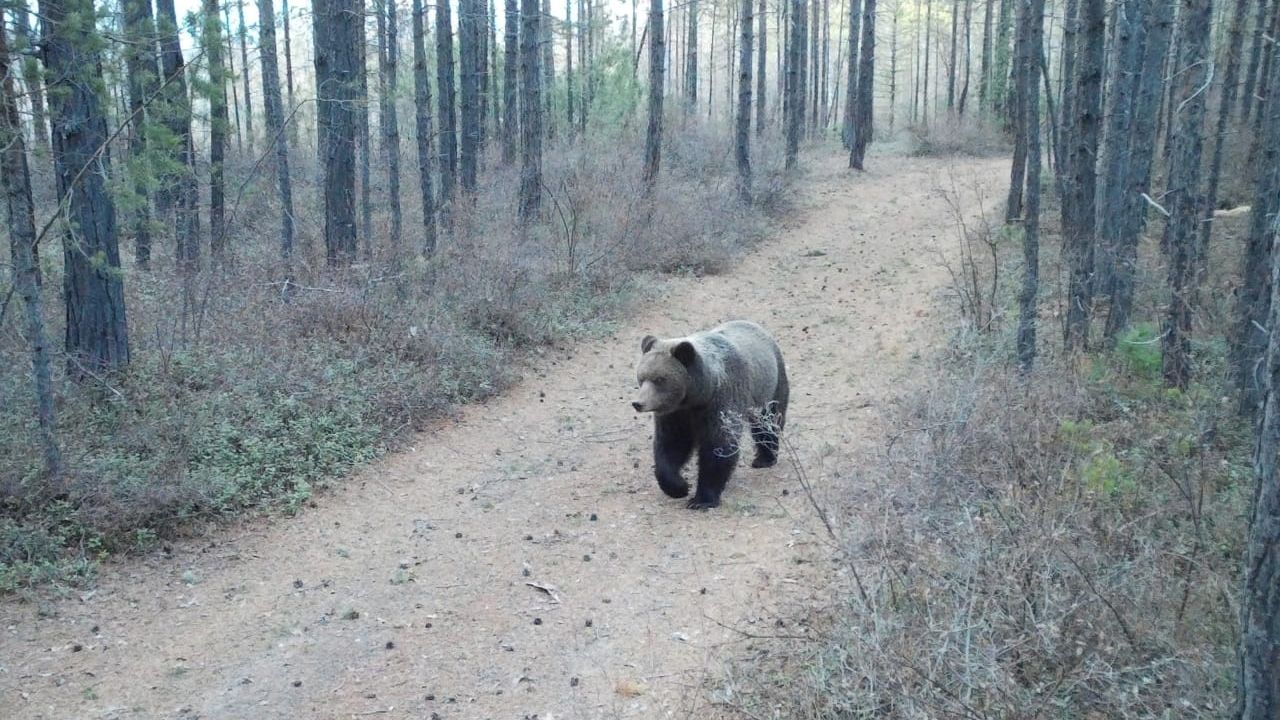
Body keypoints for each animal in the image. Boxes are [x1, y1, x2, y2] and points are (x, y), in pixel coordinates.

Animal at [632, 319, 788, 509]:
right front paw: (678, 487)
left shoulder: (721, 401)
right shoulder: (676, 415)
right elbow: (671, 445)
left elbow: (719, 445)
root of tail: (755, 325)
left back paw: (765, 458)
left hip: (771, 386)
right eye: (641, 378)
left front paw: (701, 499)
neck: (698, 396)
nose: (638, 403)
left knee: (767, 423)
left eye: (659, 379)